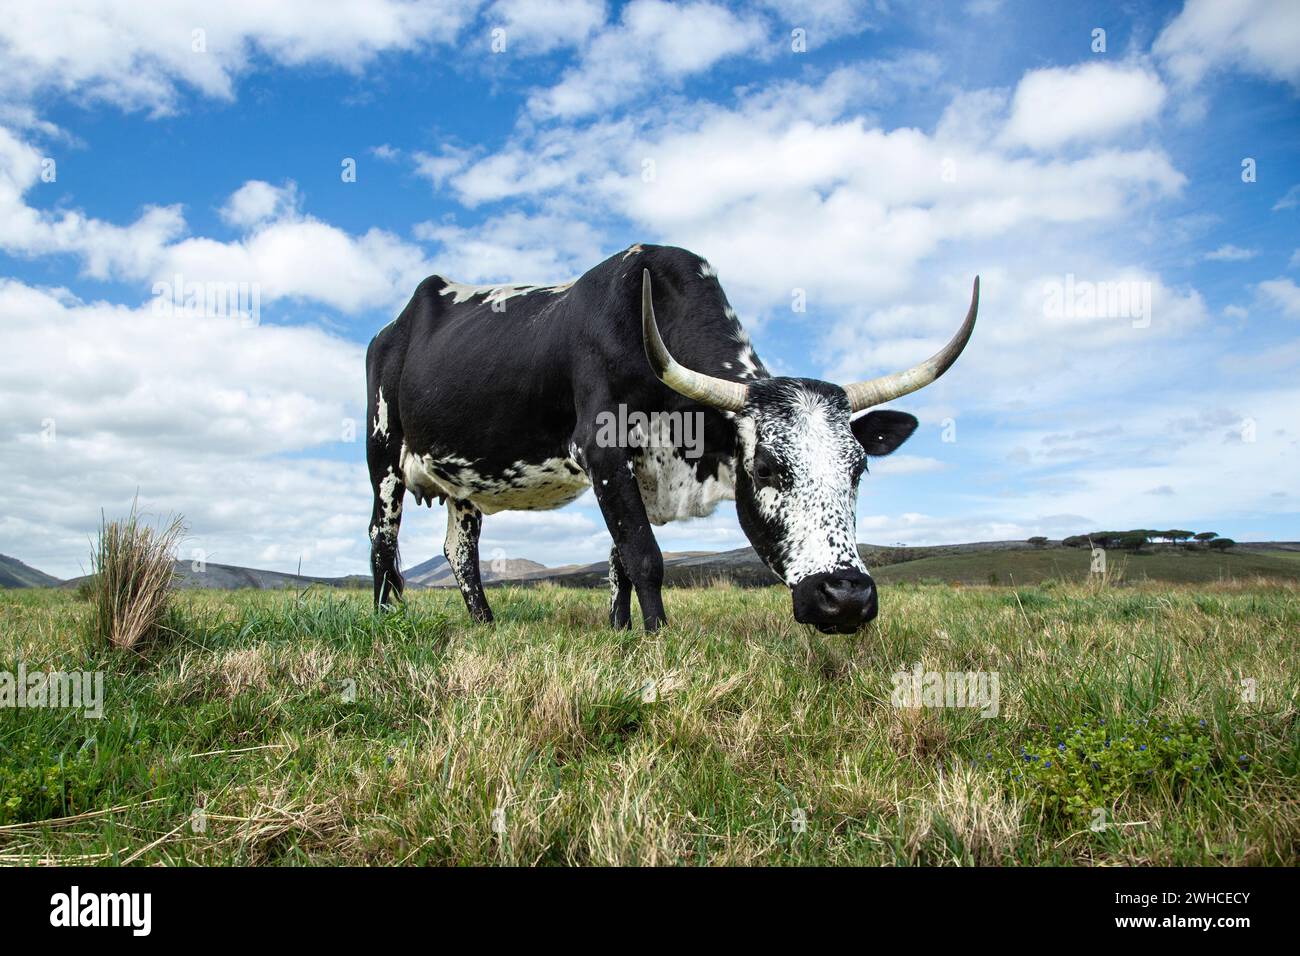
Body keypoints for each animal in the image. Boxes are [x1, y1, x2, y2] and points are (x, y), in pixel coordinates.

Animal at [366, 244, 977, 634]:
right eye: (766, 468)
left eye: (858, 469)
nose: (845, 596)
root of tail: (395, 325)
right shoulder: (601, 448)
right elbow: (643, 554)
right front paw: (657, 638)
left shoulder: (636, 468)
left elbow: (618, 559)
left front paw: (619, 633)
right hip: (383, 455)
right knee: (381, 539)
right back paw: (384, 622)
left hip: (462, 481)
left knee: (459, 550)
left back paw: (485, 626)